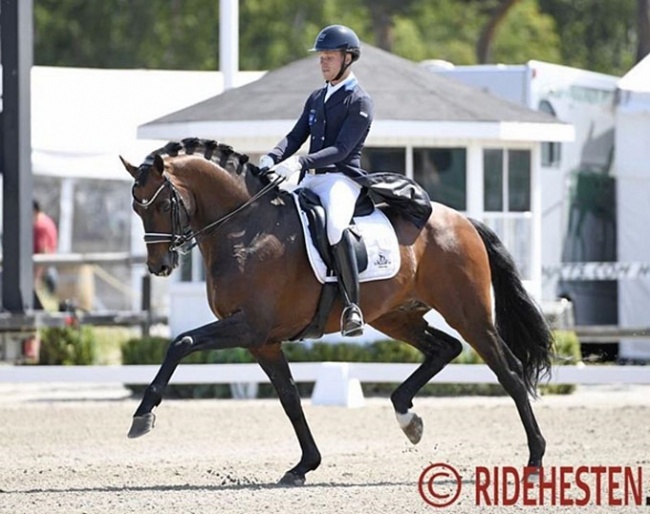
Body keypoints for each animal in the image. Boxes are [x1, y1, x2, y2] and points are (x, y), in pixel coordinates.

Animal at [120, 136, 552, 484]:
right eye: (137, 209)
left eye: (162, 205)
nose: (159, 266)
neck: (244, 227)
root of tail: (462, 220)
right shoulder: (264, 341)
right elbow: (290, 400)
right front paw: (304, 466)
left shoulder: (249, 327)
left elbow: (181, 342)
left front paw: (142, 416)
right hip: (396, 316)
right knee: (444, 348)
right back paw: (408, 418)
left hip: (468, 313)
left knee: (510, 373)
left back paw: (534, 460)